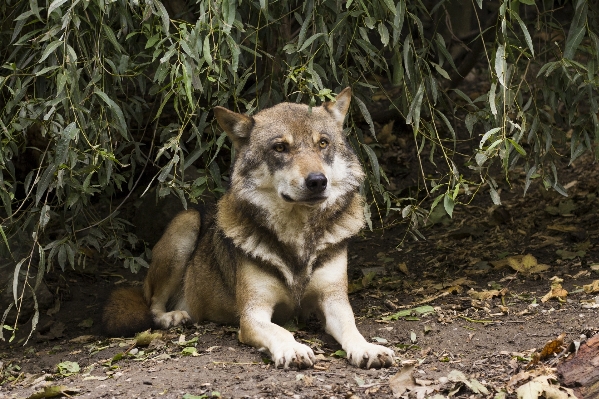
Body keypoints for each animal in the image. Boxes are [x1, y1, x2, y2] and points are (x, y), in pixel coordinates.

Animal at [103, 89, 394, 370]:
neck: (297, 237)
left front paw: (368, 349)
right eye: (280, 147)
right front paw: (293, 349)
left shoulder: (334, 301)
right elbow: (281, 331)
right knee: (152, 305)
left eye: (323, 143)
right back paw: (170, 317)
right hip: (186, 224)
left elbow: (351, 328)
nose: (317, 181)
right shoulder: (252, 314)